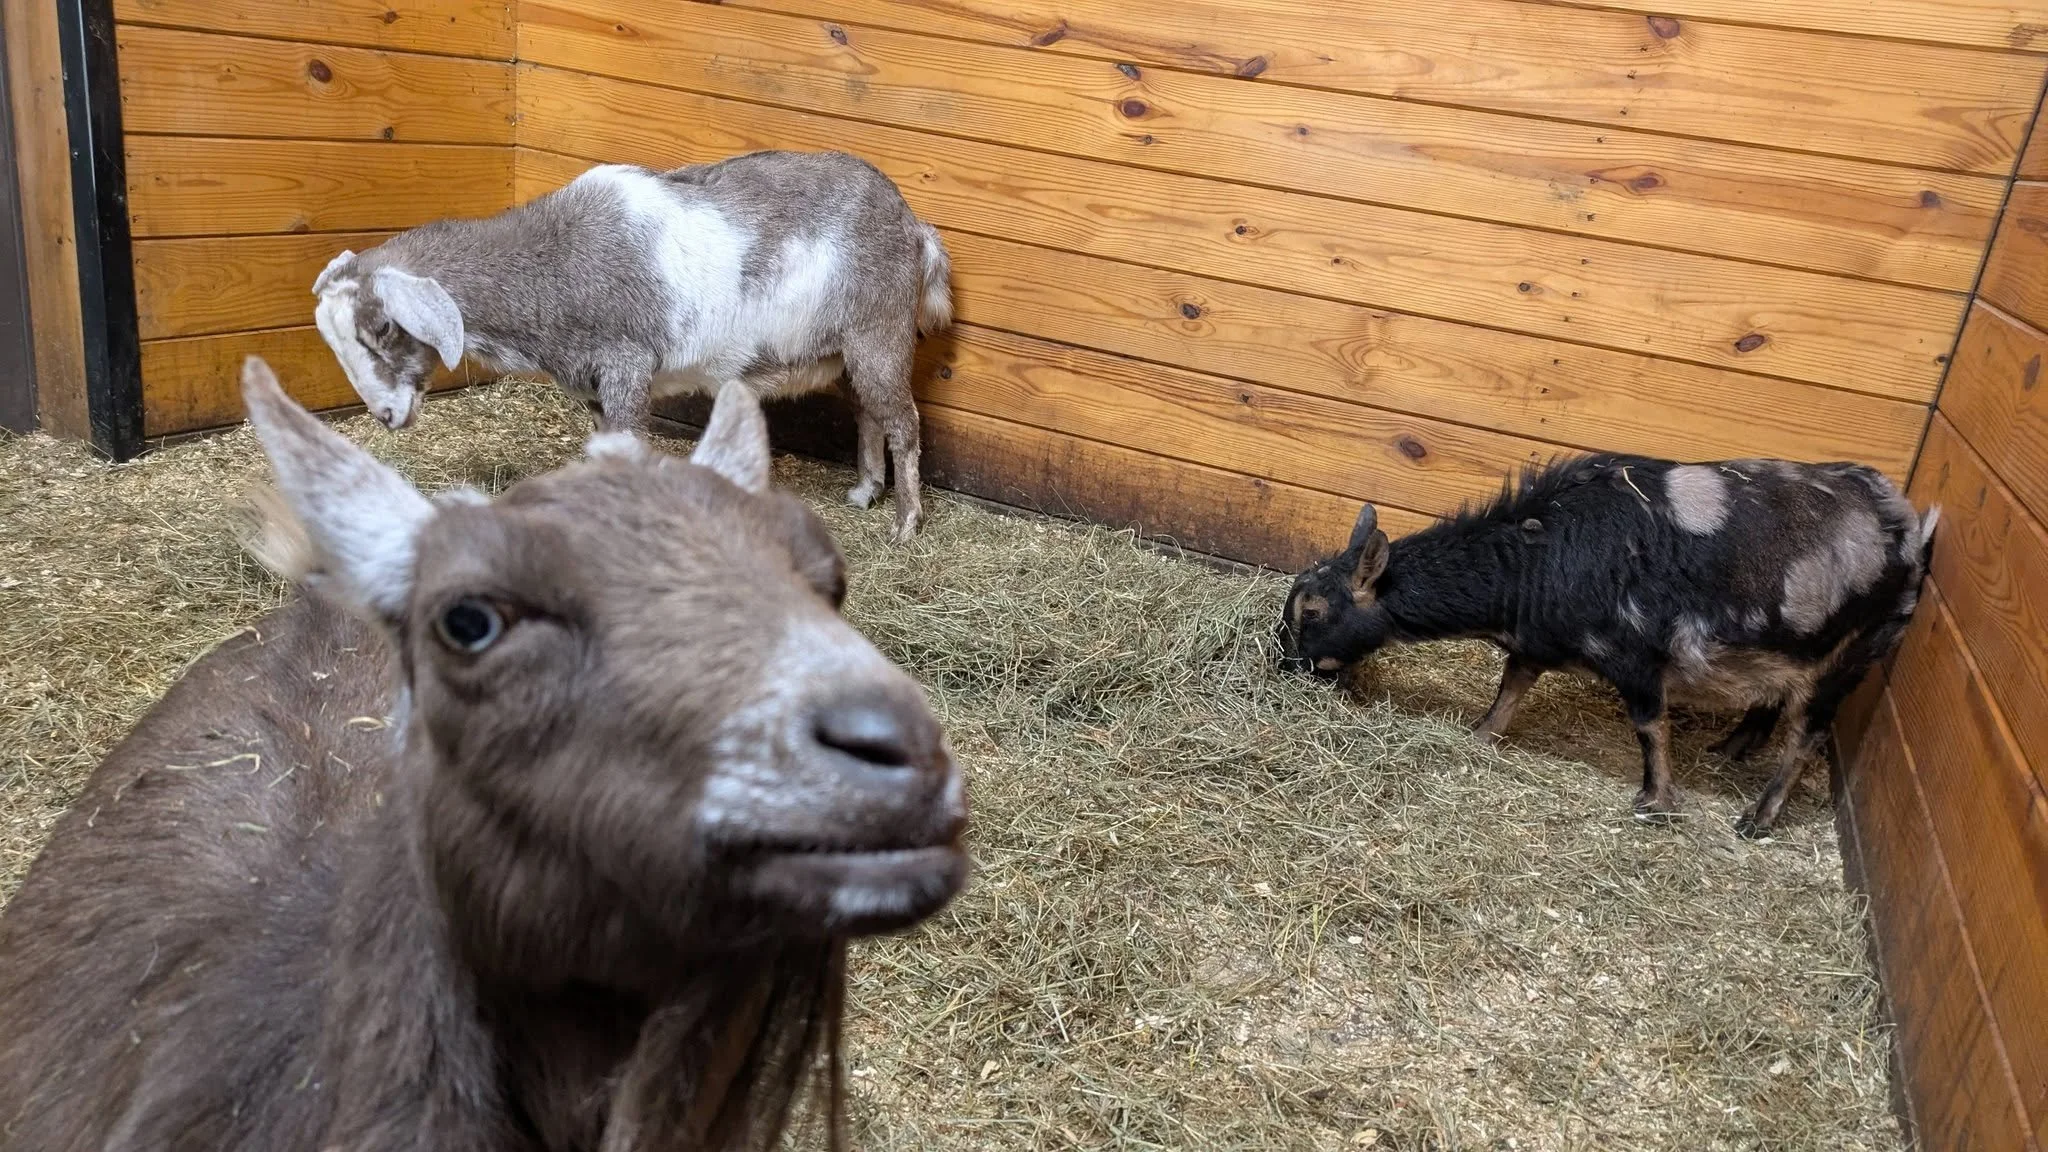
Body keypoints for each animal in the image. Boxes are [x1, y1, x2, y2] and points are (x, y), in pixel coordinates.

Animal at [311, 149, 954, 542]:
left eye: (382, 329)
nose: (385, 415)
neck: (556, 263)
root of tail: (915, 227)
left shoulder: (627, 367)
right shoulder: (592, 387)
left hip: (878, 332)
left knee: (903, 422)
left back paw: (906, 524)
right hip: (847, 350)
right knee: (870, 414)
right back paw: (865, 493)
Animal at [1277, 454, 1936, 838]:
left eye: (1312, 611)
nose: (1285, 666)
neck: (1540, 556)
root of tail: (1912, 527)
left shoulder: (1636, 657)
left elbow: (1650, 725)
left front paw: (1656, 800)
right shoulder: (1536, 642)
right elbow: (1511, 685)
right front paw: (1482, 734)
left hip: (1847, 657)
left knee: (1809, 734)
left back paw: (1758, 817)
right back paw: (1732, 747)